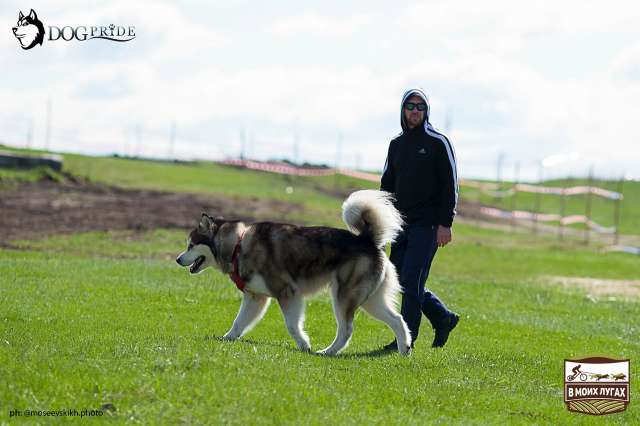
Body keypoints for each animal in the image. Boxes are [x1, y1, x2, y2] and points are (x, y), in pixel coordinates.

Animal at [175, 191, 412, 356]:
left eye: (190, 245)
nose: (177, 259)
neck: (238, 245)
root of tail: (366, 240)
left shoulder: (287, 293)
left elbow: (291, 325)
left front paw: (304, 345)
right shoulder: (255, 297)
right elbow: (238, 321)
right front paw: (227, 338)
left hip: (344, 297)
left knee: (346, 330)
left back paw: (327, 352)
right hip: (370, 300)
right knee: (398, 319)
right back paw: (404, 349)